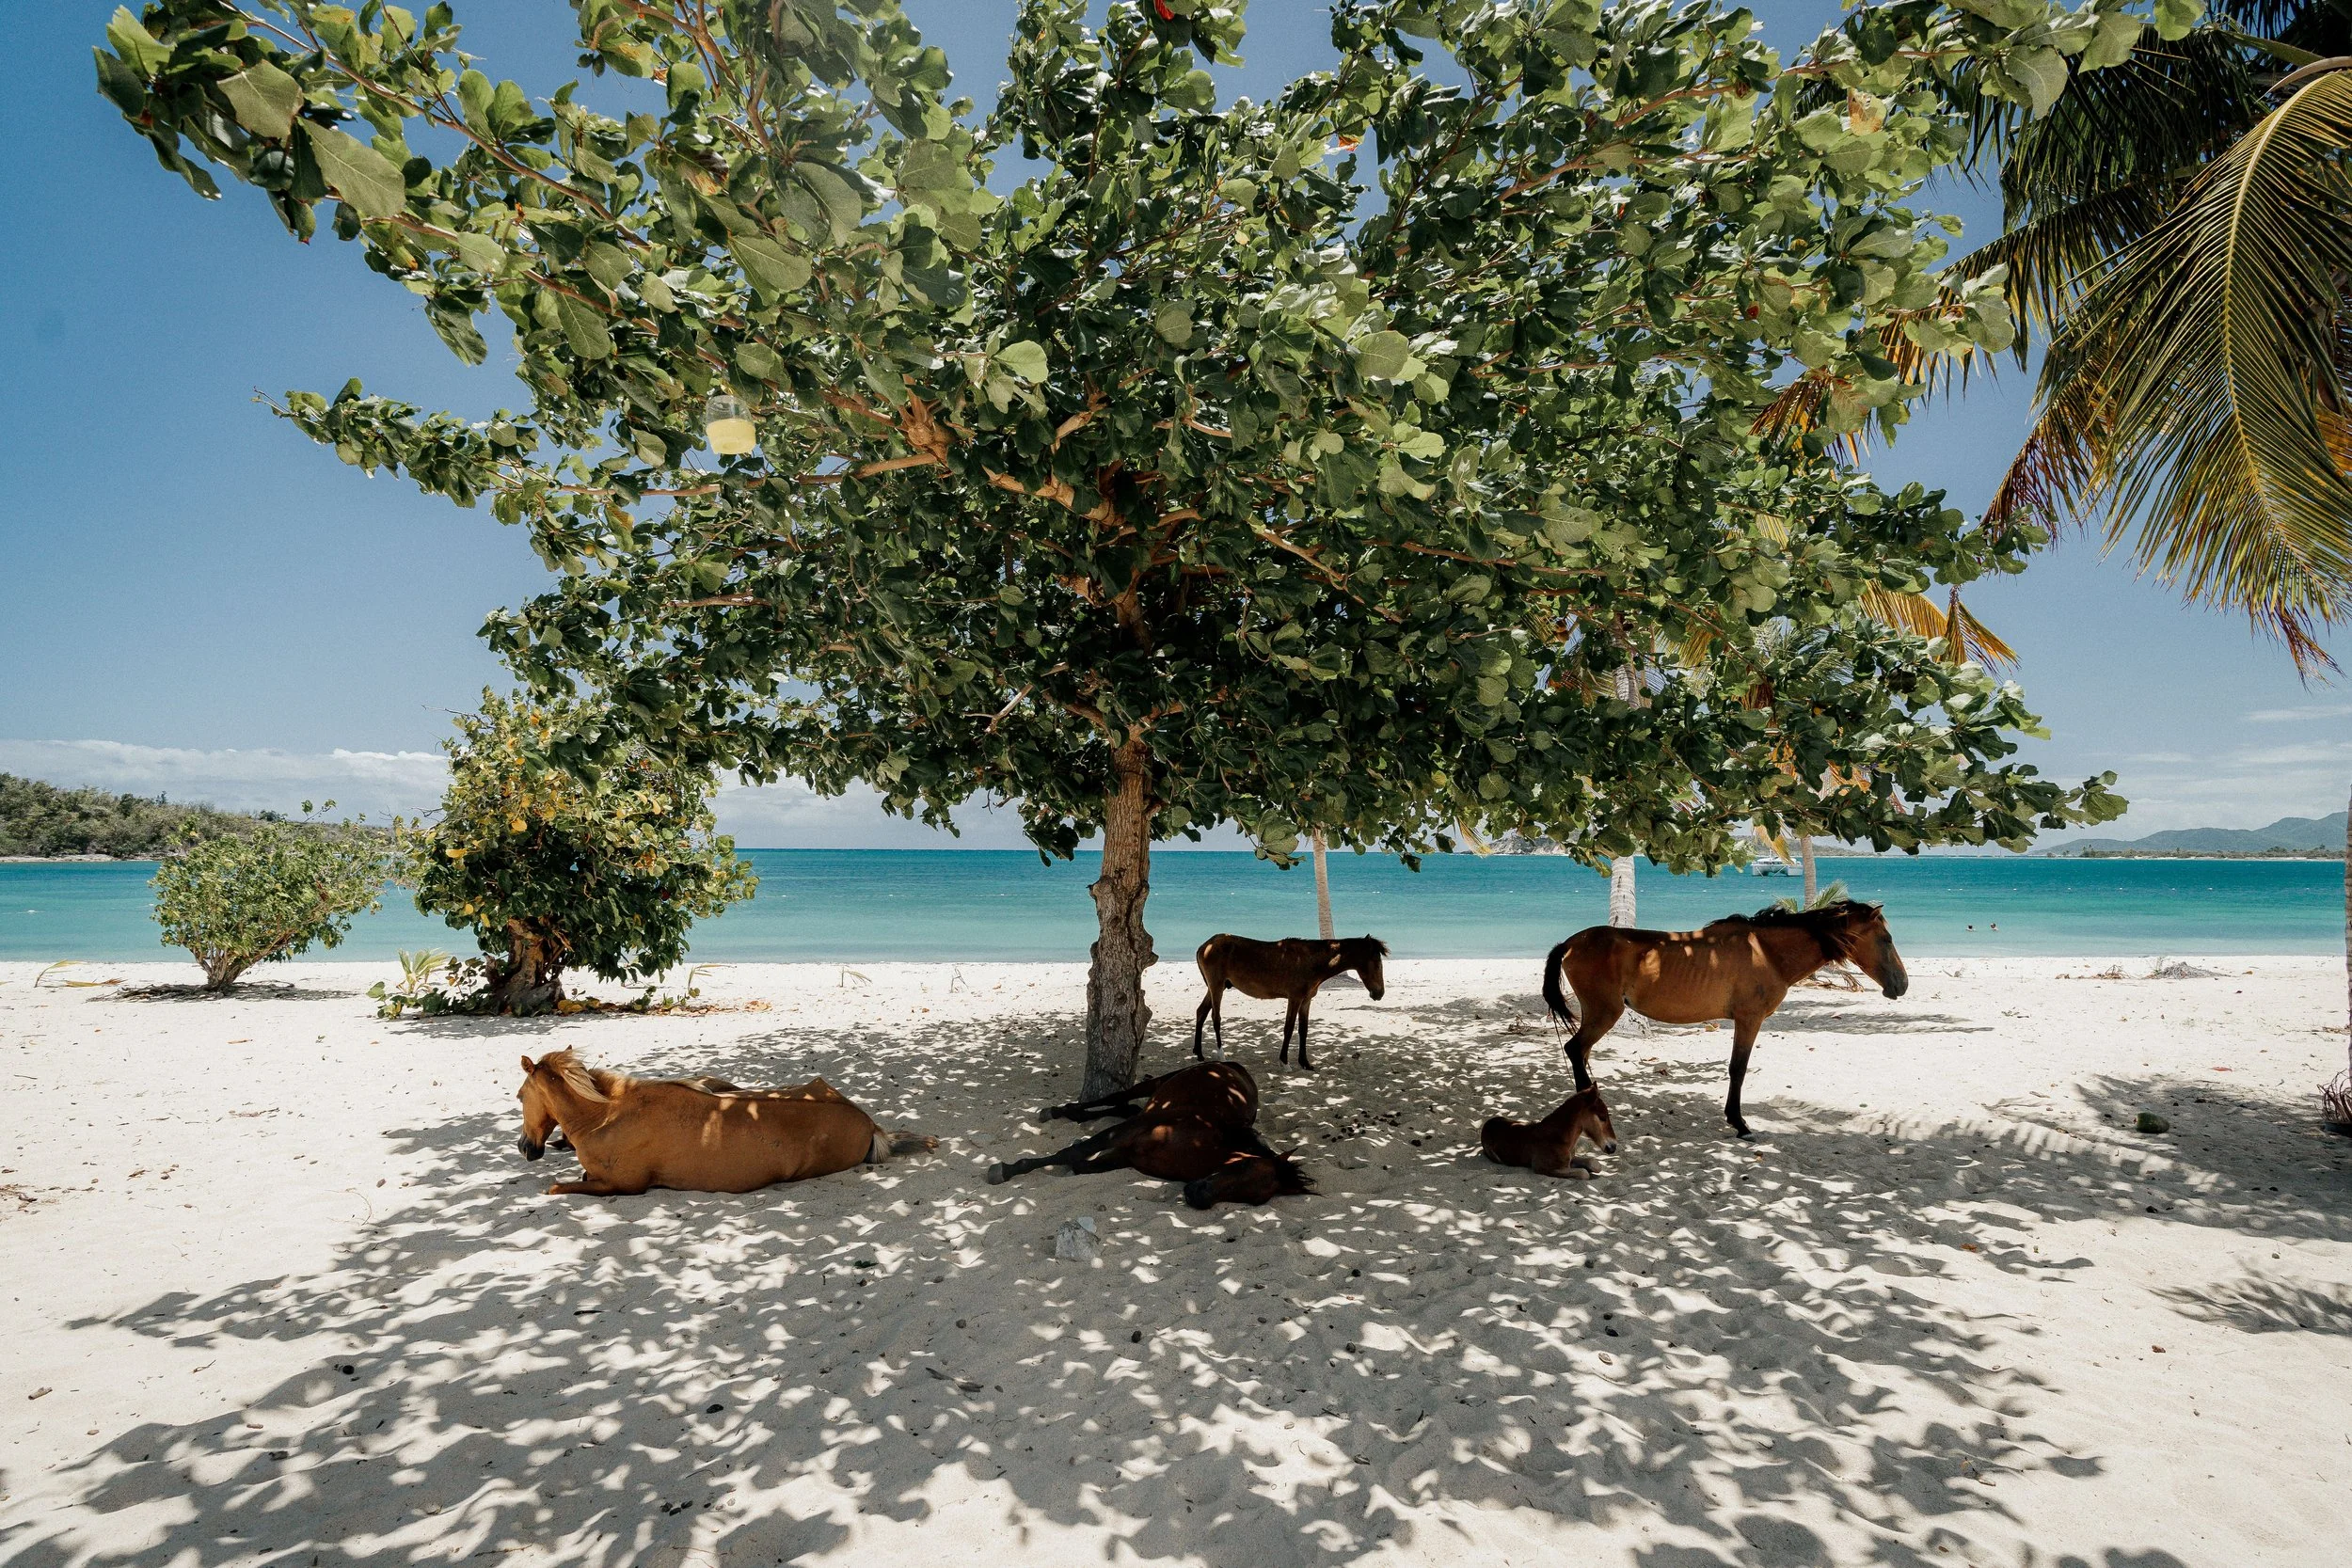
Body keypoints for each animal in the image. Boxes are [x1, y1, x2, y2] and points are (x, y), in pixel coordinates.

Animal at [515, 1050, 932, 1197]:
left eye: (519, 1096)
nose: (525, 1147)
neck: (607, 1115)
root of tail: (868, 1124)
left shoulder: (623, 1186)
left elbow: (559, 1187)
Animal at [985, 1061, 1313, 1209]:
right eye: (1244, 1166)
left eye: (1254, 1200)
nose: (1198, 1197)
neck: (1207, 1143)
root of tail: (1235, 1066)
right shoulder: (1135, 1130)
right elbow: (1073, 1153)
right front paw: (1007, 1169)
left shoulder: (1128, 1154)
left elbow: (1079, 1163)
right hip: (1155, 1084)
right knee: (1120, 1096)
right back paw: (1056, 1111)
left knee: (1125, 1107)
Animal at [1192, 934, 1388, 1071]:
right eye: (1377, 963)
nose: (1379, 993)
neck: (1311, 961)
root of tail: (1205, 945)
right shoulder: (1294, 999)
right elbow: (1289, 1028)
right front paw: (1285, 1062)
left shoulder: (1306, 1001)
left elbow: (1303, 1030)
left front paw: (1305, 1063)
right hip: (1216, 987)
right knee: (1215, 1017)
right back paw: (1221, 1055)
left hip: (1214, 988)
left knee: (1201, 1012)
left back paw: (1199, 1053)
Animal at [1481, 1086, 1620, 1179]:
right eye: (1602, 1117)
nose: (1613, 1147)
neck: (1559, 1137)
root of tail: (1488, 1123)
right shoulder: (1542, 1167)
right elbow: (1583, 1173)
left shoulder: (1570, 1159)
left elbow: (1595, 1164)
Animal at [1541, 900, 1909, 1137]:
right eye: (1886, 939)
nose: (1901, 985)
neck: (1766, 953)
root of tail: (1571, 943)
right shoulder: (1749, 1019)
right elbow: (1738, 1069)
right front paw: (1739, 1122)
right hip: (1604, 1013)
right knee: (1576, 1050)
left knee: (1581, 1053)